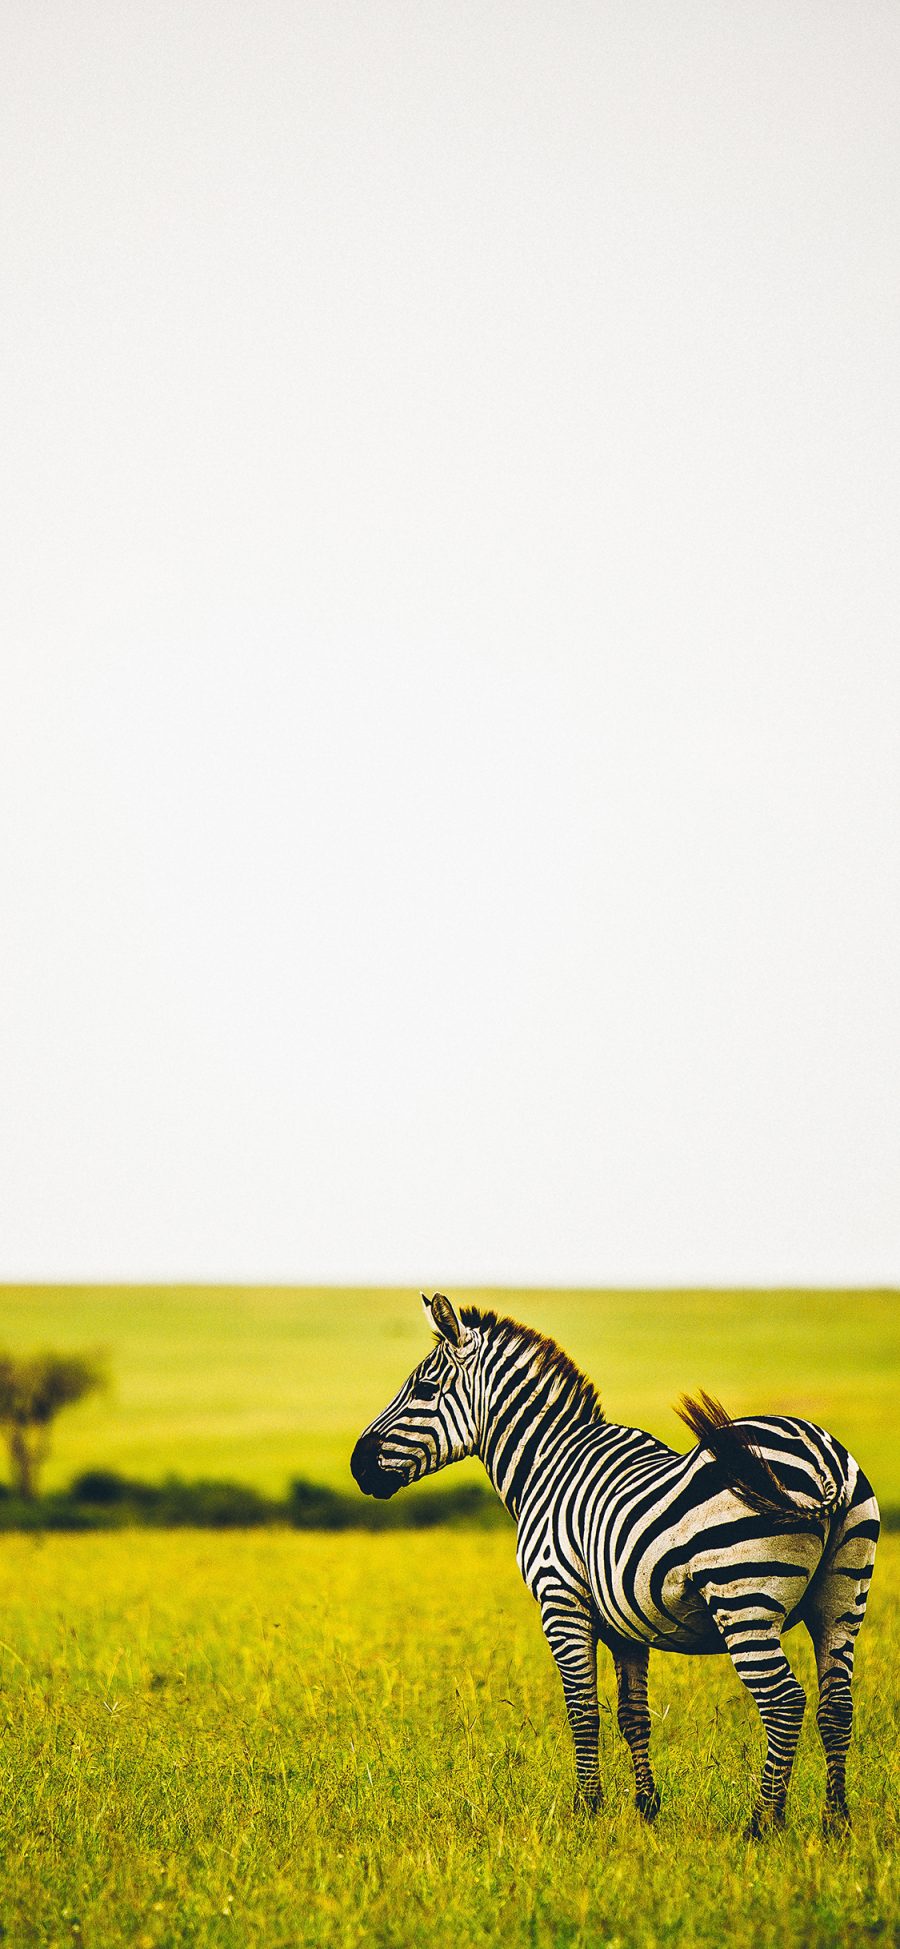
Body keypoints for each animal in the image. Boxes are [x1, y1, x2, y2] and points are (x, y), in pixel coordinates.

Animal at [350, 1294, 880, 1824]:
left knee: (784, 1702)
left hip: (744, 1597)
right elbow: (632, 1715)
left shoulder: (561, 1600)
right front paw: (647, 1808)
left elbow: (582, 1710)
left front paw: (587, 1807)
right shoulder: (627, 1621)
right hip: (841, 1598)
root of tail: (824, 1460)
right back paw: (836, 1822)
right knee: (836, 1707)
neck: (546, 1464)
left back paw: (763, 1823)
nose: (357, 1465)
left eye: (424, 1389)